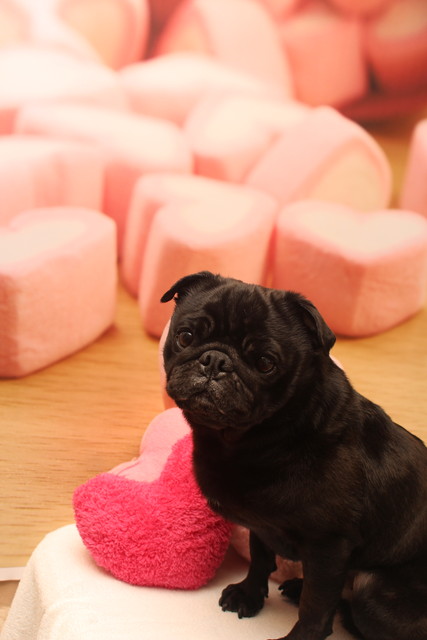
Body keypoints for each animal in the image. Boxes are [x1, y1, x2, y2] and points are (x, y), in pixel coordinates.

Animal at [161, 271, 427, 640]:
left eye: (265, 363)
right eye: (185, 337)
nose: (216, 360)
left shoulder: (328, 546)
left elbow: (316, 607)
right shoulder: (260, 526)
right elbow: (260, 558)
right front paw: (249, 594)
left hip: (373, 591)